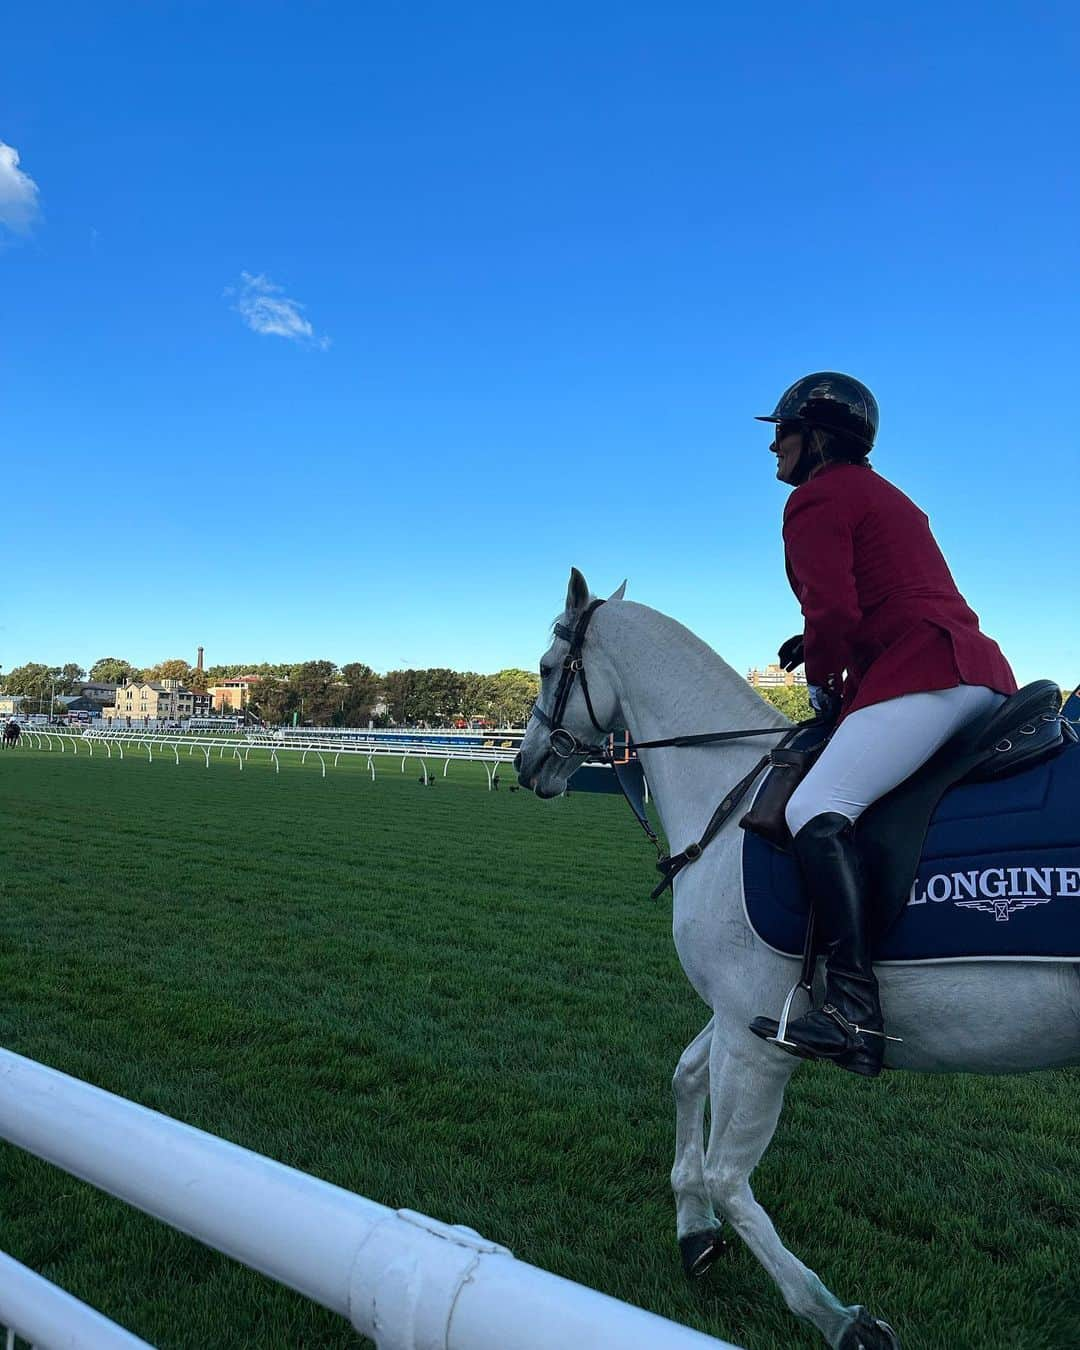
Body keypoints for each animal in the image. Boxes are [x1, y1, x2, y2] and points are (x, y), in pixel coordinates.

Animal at [515, 569, 1080, 1350]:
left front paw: (837, 1317)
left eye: (546, 667)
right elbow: (685, 1077)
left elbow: (728, 1174)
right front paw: (694, 1232)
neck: (730, 789)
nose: (524, 764)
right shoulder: (747, 1013)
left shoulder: (760, 1042)